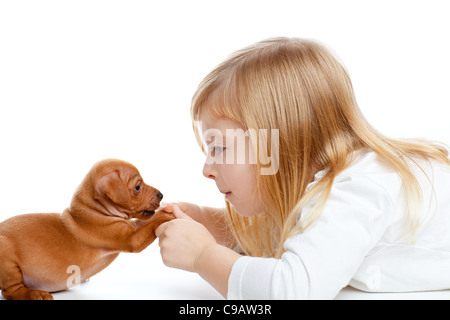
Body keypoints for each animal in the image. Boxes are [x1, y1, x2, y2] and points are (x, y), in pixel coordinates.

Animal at [0, 160, 174, 300]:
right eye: (137, 187)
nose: (161, 195)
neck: (95, 210)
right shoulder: (131, 238)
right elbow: (152, 223)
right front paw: (168, 214)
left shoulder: (131, 226)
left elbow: (145, 221)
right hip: (6, 255)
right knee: (10, 291)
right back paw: (35, 294)